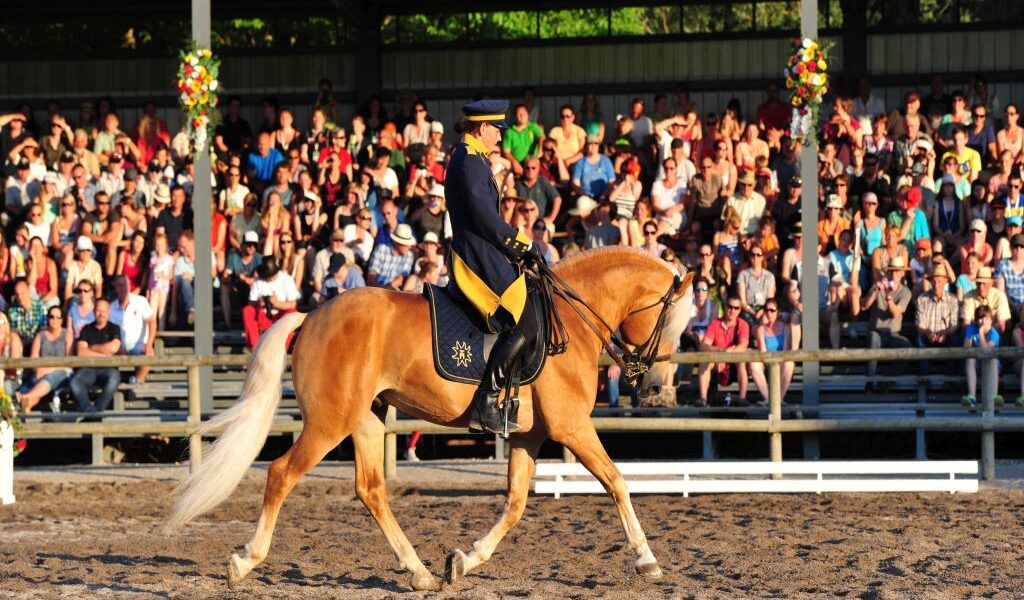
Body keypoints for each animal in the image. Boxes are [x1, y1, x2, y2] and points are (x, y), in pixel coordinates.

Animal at [168, 246, 694, 591]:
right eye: (671, 321)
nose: (656, 388)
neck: (569, 318)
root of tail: (313, 314)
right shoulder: (572, 427)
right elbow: (616, 481)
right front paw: (646, 559)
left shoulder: (530, 436)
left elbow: (516, 503)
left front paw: (463, 559)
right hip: (330, 422)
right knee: (281, 473)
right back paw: (245, 562)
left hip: (367, 420)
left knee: (371, 490)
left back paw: (419, 572)